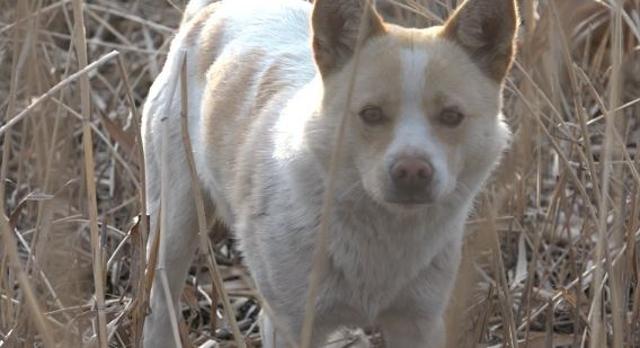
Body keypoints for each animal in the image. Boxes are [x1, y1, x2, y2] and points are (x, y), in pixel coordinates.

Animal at [142, 0, 516, 346]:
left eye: (452, 116)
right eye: (371, 113)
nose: (412, 171)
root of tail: (214, 10)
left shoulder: (419, 321)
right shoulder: (290, 326)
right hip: (174, 222)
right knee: (160, 303)